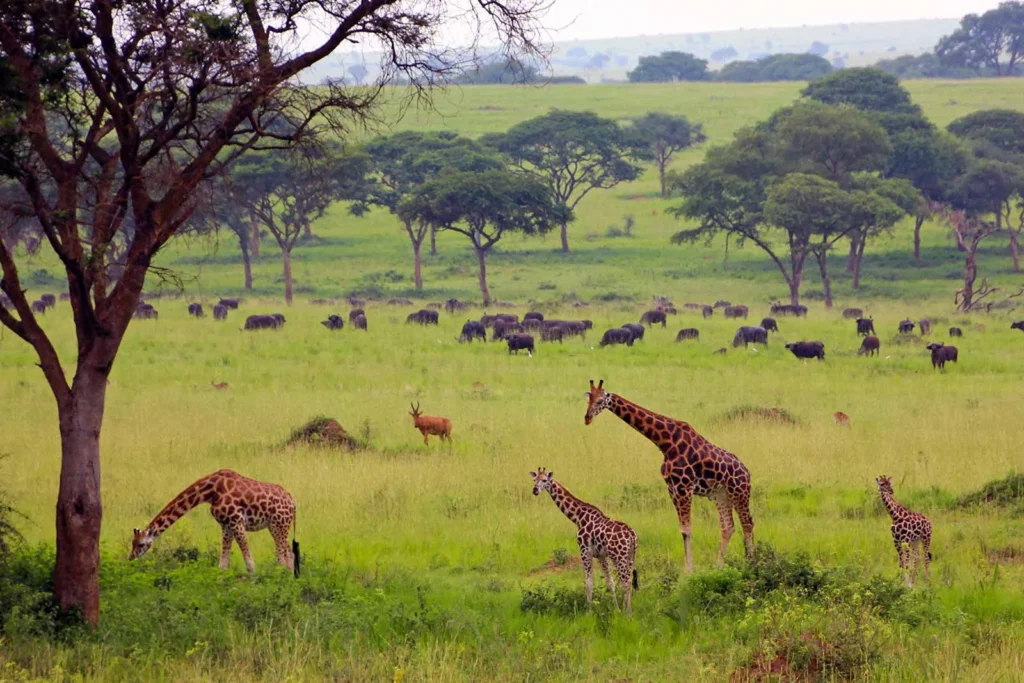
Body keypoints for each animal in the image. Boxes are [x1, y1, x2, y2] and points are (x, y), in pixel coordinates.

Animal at [128, 466, 296, 573]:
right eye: (132, 543)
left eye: (141, 544)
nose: (130, 558)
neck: (210, 492)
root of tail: (293, 503)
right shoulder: (226, 525)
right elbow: (223, 564)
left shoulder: (236, 521)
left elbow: (249, 562)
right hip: (277, 526)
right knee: (290, 554)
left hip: (279, 525)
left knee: (282, 557)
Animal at [532, 471, 634, 614]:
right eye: (534, 479)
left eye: (544, 480)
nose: (535, 490)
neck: (578, 517)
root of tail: (632, 535)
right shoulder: (601, 556)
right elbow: (610, 582)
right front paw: (616, 610)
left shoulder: (585, 551)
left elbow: (588, 583)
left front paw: (589, 612)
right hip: (629, 557)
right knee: (629, 581)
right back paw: (627, 610)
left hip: (619, 557)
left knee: (626, 582)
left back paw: (628, 613)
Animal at [585, 378, 753, 573]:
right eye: (588, 399)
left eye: (600, 401)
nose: (587, 418)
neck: (666, 443)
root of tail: (747, 472)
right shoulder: (672, 488)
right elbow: (683, 529)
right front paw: (688, 568)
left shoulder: (684, 487)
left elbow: (687, 529)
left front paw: (689, 570)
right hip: (721, 495)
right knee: (728, 527)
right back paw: (719, 566)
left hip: (739, 492)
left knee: (747, 523)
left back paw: (752, 562)